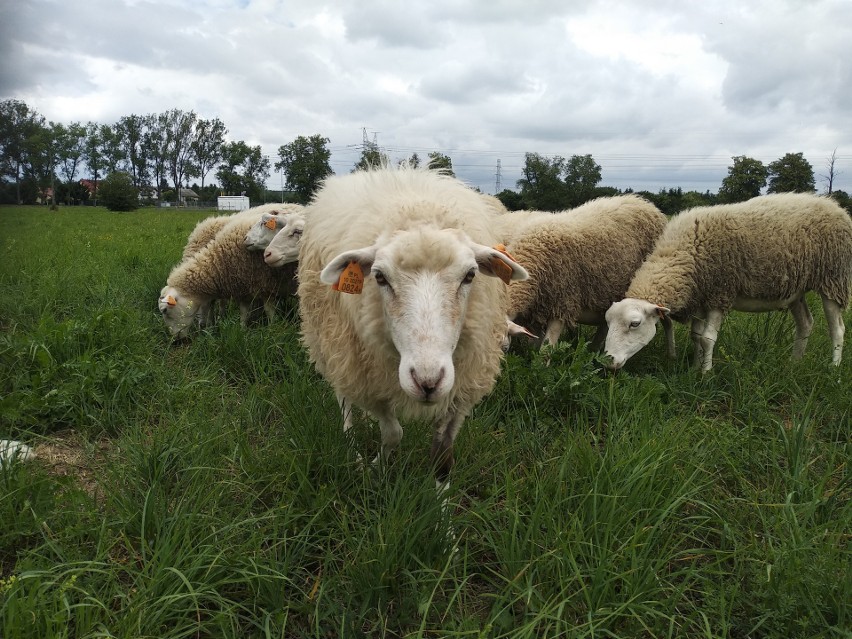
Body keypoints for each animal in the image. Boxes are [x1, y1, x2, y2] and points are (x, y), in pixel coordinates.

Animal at [160, 210, 300, 340]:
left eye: (165, 310)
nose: (175, 339)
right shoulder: (243, 286)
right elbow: (243, 313)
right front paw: (241, 330)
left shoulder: (265, 285)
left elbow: (269, 311)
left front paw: (272, 329)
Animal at [298, 168, 524, 488]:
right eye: (379, 277)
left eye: (470, 275)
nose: (427, 382)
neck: (419, 211)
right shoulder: (371, 379)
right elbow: (394, 433)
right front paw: (376, 469)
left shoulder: (464, 387)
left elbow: (443, 449)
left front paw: (442, 496)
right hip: (333, 345)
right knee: (344, 397)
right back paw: (352, 444)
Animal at [604, 194, 852, 370]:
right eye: (607, 321)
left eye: (634, 324)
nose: (607, 361)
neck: (683, 255)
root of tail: (834, 205)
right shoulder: (700, 298)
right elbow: (696, 336)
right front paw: (694, 368)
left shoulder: (719, 294)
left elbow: (707, 338)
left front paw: (705, 374)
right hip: (796, 291)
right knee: (805, 324)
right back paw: (795, 363)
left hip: (834, 279)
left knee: (837, 329)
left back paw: (834, 369)